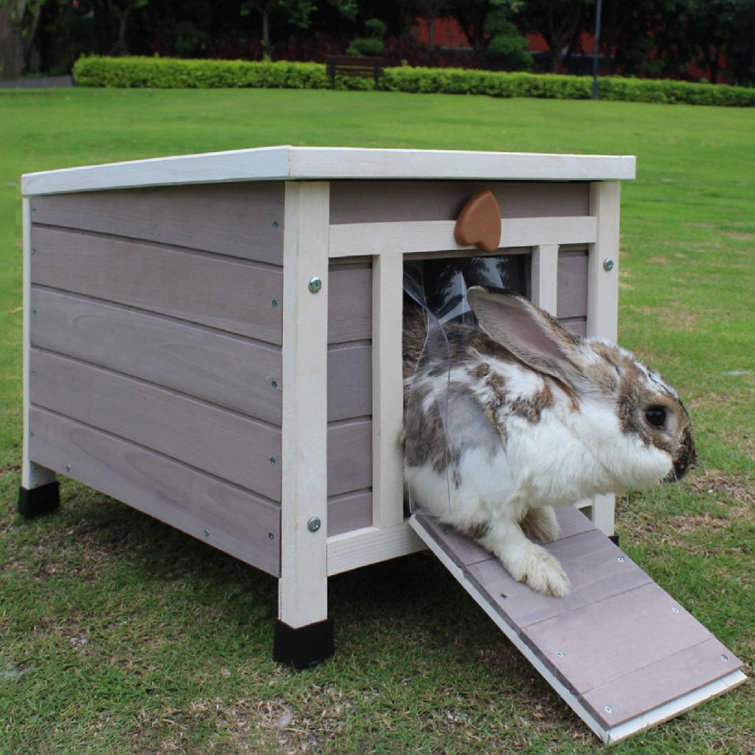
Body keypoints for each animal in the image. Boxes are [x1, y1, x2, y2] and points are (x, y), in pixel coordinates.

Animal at [403, 287, 696, 598]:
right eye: (656, 415)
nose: (691, 461)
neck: (571, 426)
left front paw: (545, 524)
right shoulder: (467, 492)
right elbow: (503, 534)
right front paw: (544, 572)